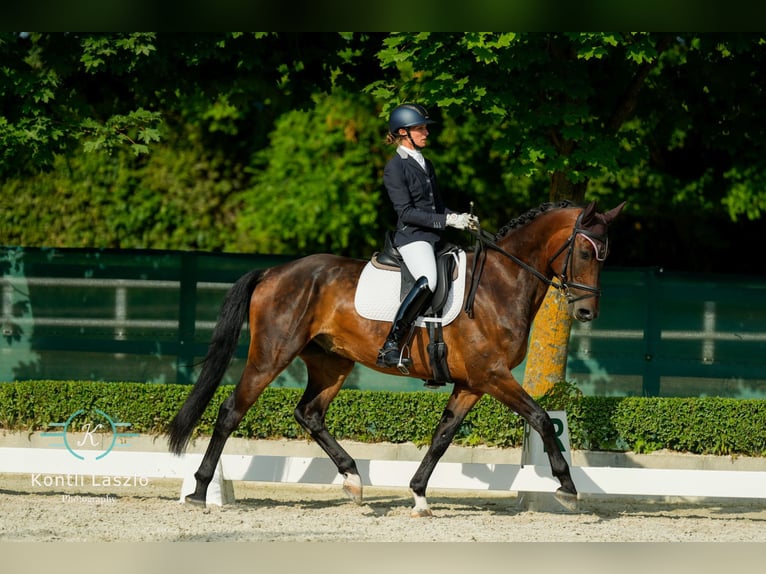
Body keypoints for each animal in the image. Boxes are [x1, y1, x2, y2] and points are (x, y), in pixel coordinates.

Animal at [166, 199, 624, 516]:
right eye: (585, 253)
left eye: (605, 255)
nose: (587, 312)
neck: (500, 284)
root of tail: (273, 273)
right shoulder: (493, 376)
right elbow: (542, 418)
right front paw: (566, 487)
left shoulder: (471, 383)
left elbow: (442, 436)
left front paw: (419, 495)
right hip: (272, 355)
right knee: (231, 410)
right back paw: (200, 491)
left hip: (332, 363)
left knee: (309, 413)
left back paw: (353, 479)